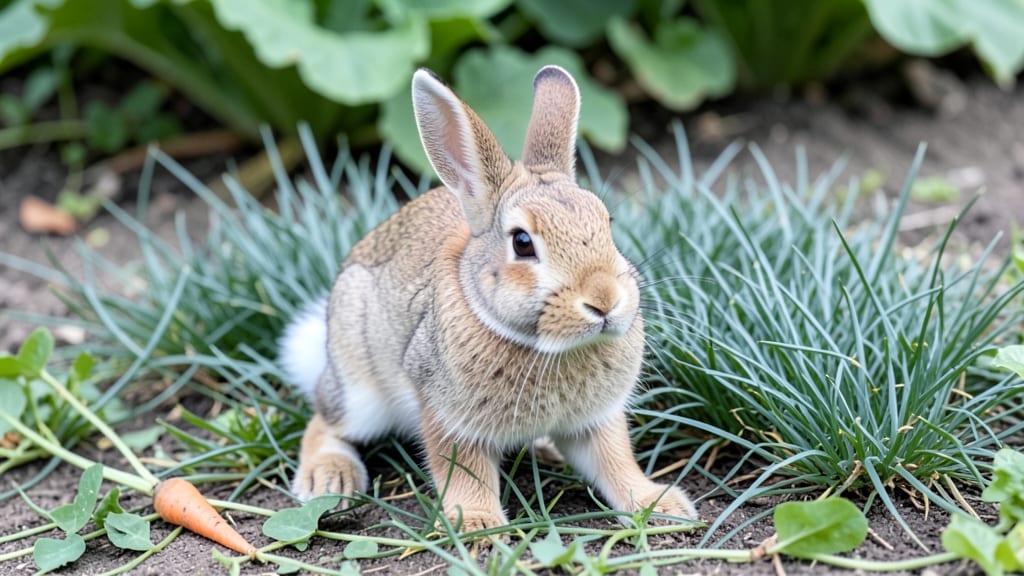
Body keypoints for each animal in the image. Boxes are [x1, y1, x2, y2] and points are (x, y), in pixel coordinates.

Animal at [278, 65, 698, 531]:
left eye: (607, 223)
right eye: (522, 243)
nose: (604, 301)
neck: (547, 347)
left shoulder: (597, 420)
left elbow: (616, 461)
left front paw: (661, 505)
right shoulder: (450, 419)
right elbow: (465, 471)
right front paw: (479, 525)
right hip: (360, 389)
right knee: (324, 420)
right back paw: (328, 477)